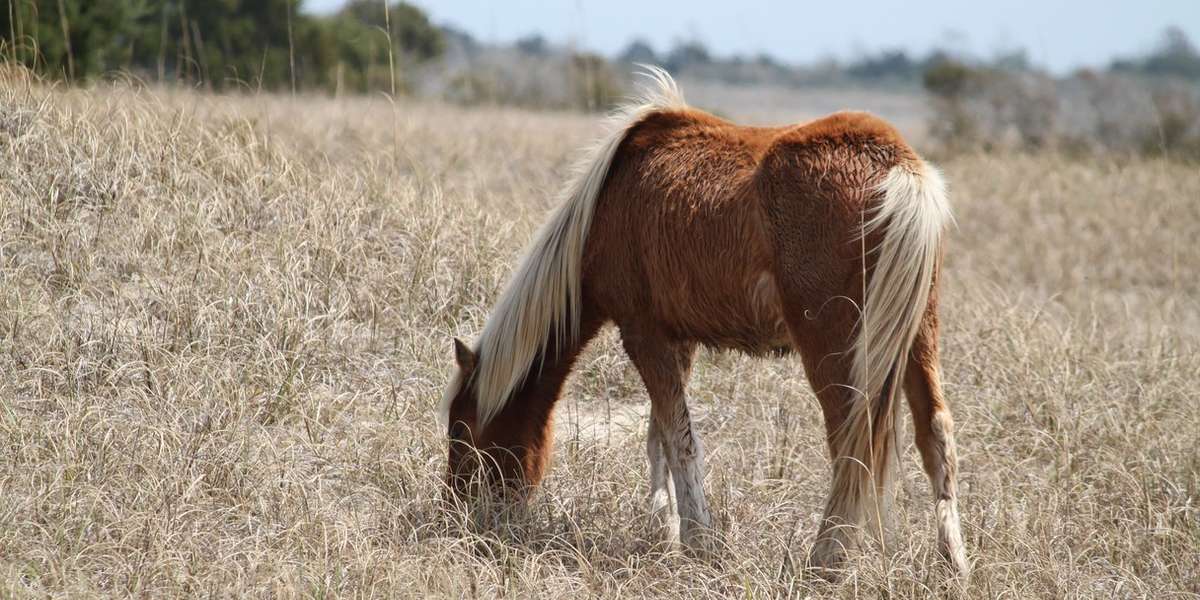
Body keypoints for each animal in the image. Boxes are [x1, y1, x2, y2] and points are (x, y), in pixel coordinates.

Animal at [440, 67, 968, 578]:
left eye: (461, 432)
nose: (456, 514)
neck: (605, 205)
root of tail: (900, 169)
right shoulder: (679, 341)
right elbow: (659, 436)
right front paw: (664, 530)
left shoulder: (643, 334)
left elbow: (679, 437)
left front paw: (698, 543)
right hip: (918, 337)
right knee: (935, 435)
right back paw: (952, 564)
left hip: (834, 349)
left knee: (852, 447)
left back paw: (825, 563)